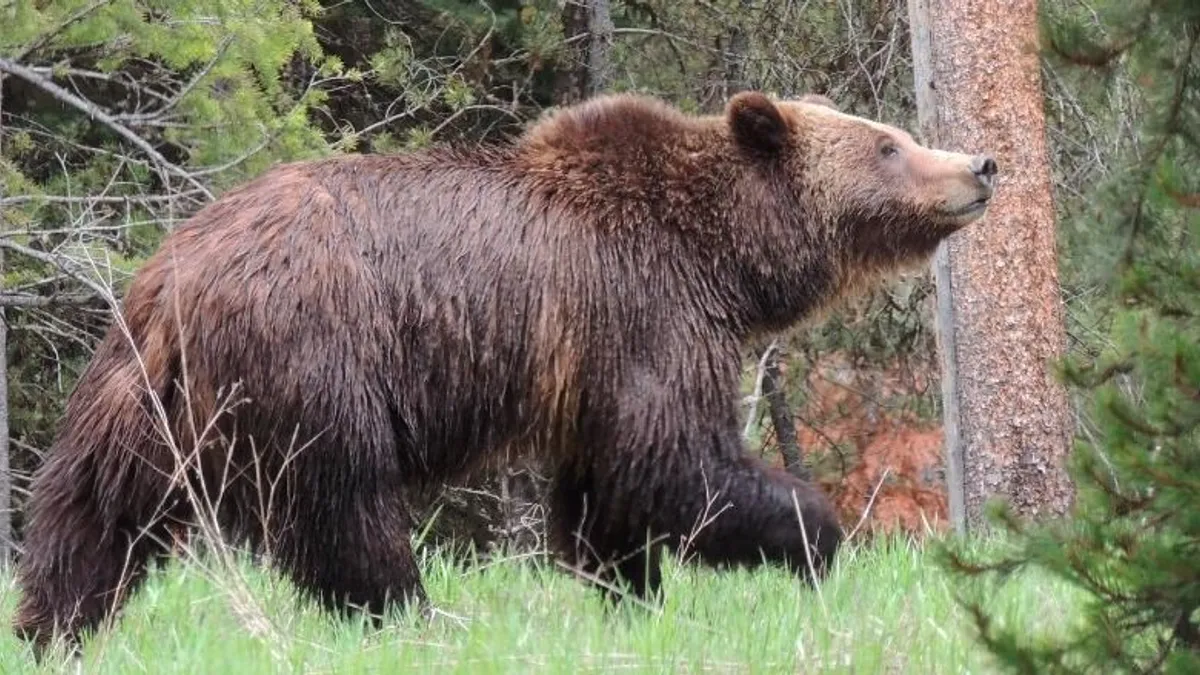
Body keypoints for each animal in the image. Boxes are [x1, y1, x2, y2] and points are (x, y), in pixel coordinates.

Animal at [14, 89, 998, 648]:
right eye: (886, 143)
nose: (981, 163)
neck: (725, 259)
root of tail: (176, 272)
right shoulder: (642, 310)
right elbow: (679, 461)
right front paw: (813, 539)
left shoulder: (595, 363)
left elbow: (609, 491)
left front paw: (629, 594)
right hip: (316, 360)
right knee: (347, 510)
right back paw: (415, 617)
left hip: (138, 393)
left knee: (90, 511)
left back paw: (52, 627)